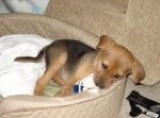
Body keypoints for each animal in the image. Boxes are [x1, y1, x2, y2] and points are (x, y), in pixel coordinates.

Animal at [15, 35, 145, 96]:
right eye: (104, 66)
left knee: (53, 76)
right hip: (61, 56)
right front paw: (64, 92)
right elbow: (70, 83)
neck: (94, 65)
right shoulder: (78, 73)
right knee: (42, 80)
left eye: (117, 76)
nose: (99, 85)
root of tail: (48, 46)